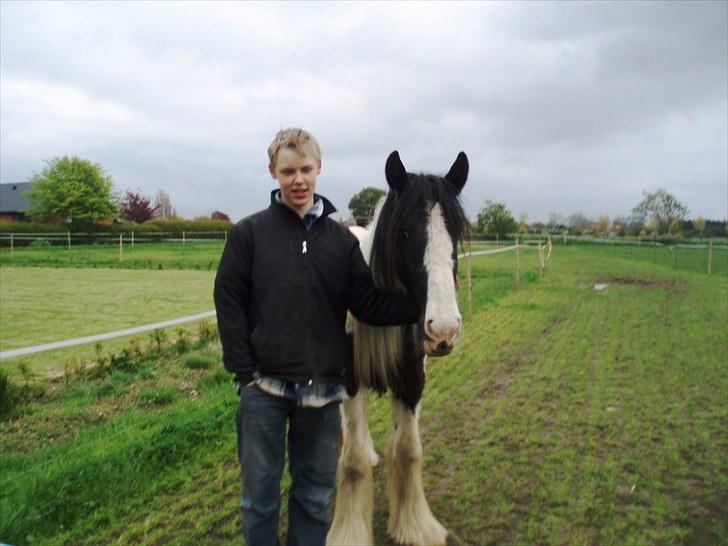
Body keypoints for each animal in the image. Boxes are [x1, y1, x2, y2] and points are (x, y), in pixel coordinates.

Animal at [328, 150, 470, 544]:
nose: (444, 329)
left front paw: (416, 526)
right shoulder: (348, 381)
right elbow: (353, 463)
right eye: (404, 233)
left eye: (456, 232)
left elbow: (407, 450)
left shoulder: (411, 381)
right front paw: (350, 532)